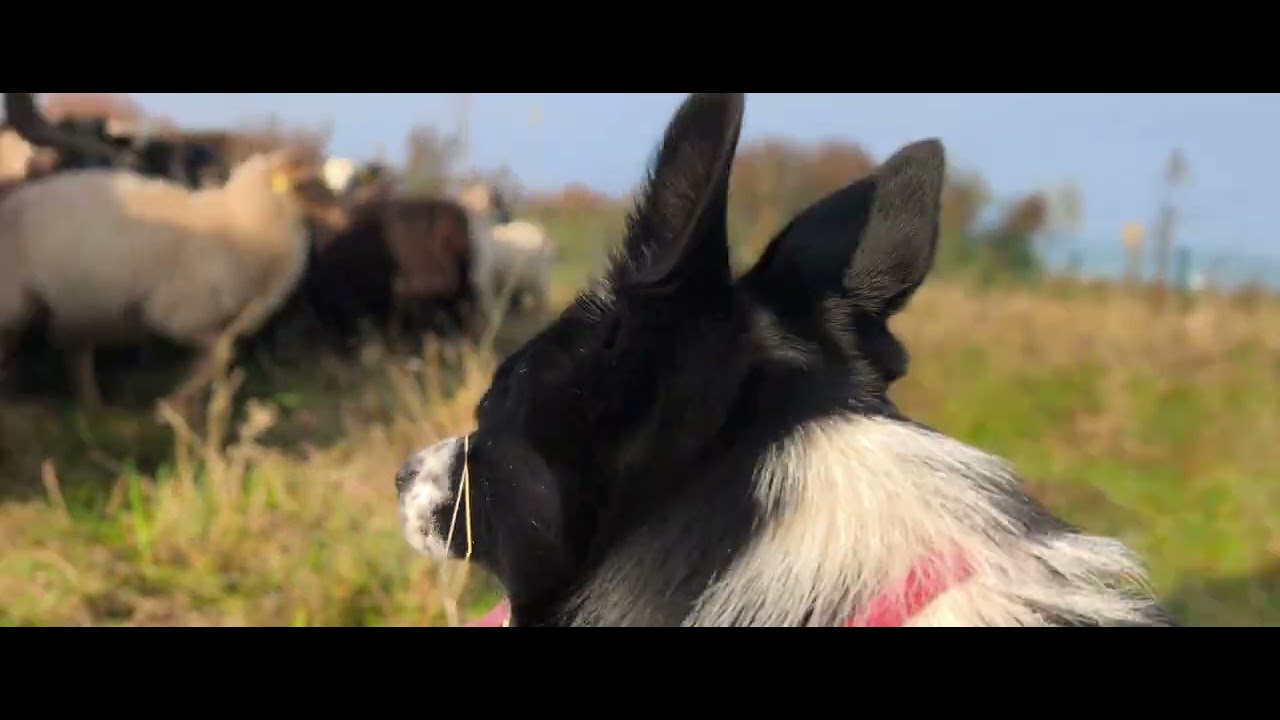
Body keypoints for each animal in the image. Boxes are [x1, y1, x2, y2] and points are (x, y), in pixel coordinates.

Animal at [0, 146, 349, 413]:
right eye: (304, 184)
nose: (343, 219)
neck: (241, 224)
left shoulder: (212, 321)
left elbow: (216, 357)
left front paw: (189, 407)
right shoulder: (174, 315)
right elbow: (220, 353)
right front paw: (174, 404)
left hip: (77, 306)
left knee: (76, 356)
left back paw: (93, 409)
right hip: (16, 300)